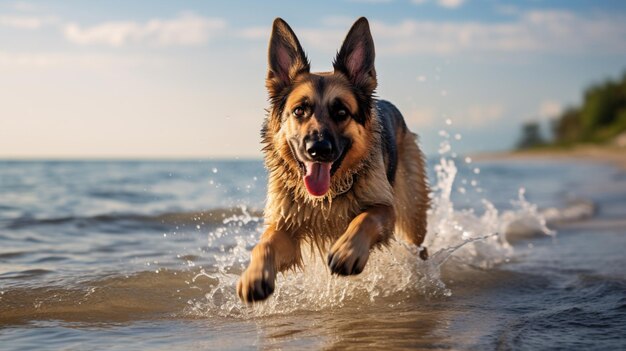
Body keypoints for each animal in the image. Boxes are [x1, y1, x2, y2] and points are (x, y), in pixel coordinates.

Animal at [236, 17, 426, 302]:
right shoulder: (286, 228)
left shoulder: (385, 210)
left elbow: (365, 218)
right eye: (299, 111)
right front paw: (254, 275)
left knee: (419, 247)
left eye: (341, 112)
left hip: (411, 217)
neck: (326, 198)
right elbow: (264, 244)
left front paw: (348, 251)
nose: (318, 149)